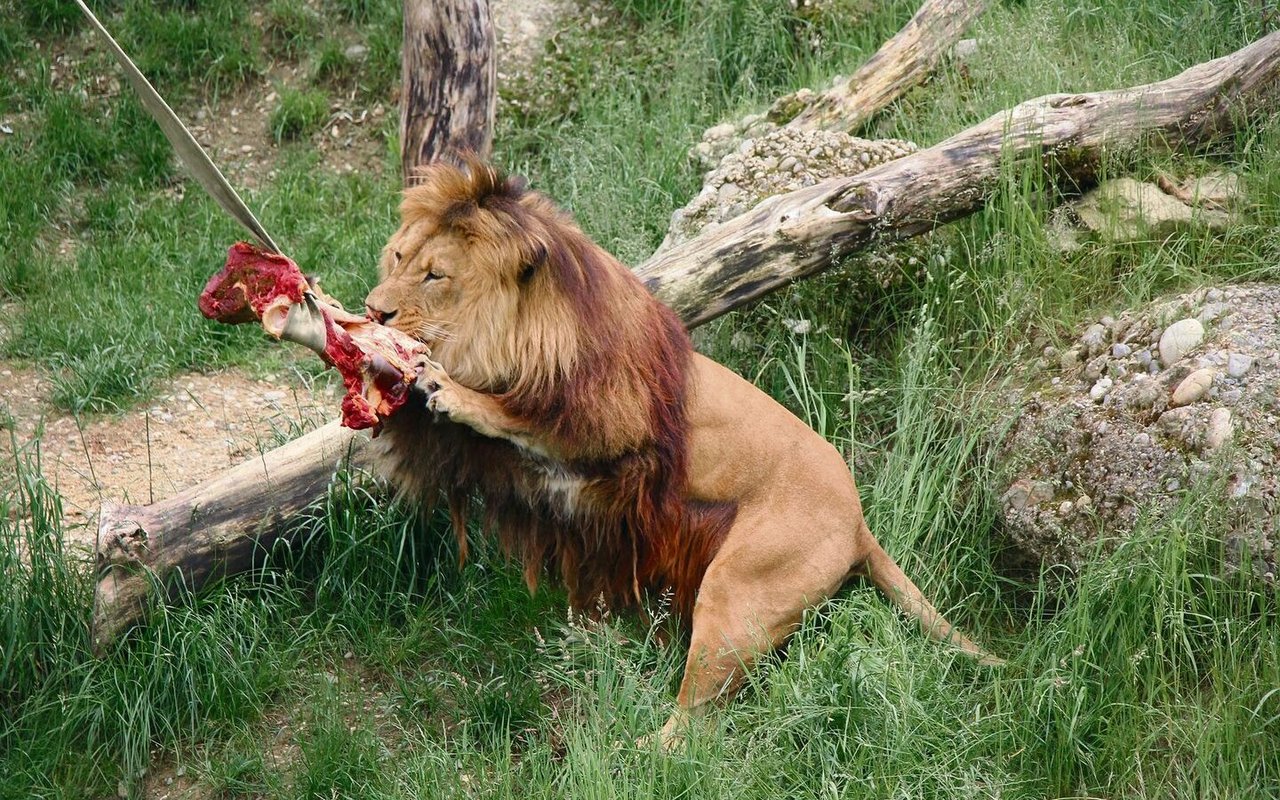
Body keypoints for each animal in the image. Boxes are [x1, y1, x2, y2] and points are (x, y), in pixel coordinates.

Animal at [363, 159, 998, 747]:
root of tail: (860, 523)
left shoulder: (607, 424)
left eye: (436, 275)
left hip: (739, 590)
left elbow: (514, 417)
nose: (373, 311)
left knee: (696, 726)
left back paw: (633, 752)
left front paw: (448, 388)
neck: (522, 334)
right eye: (397, 256)